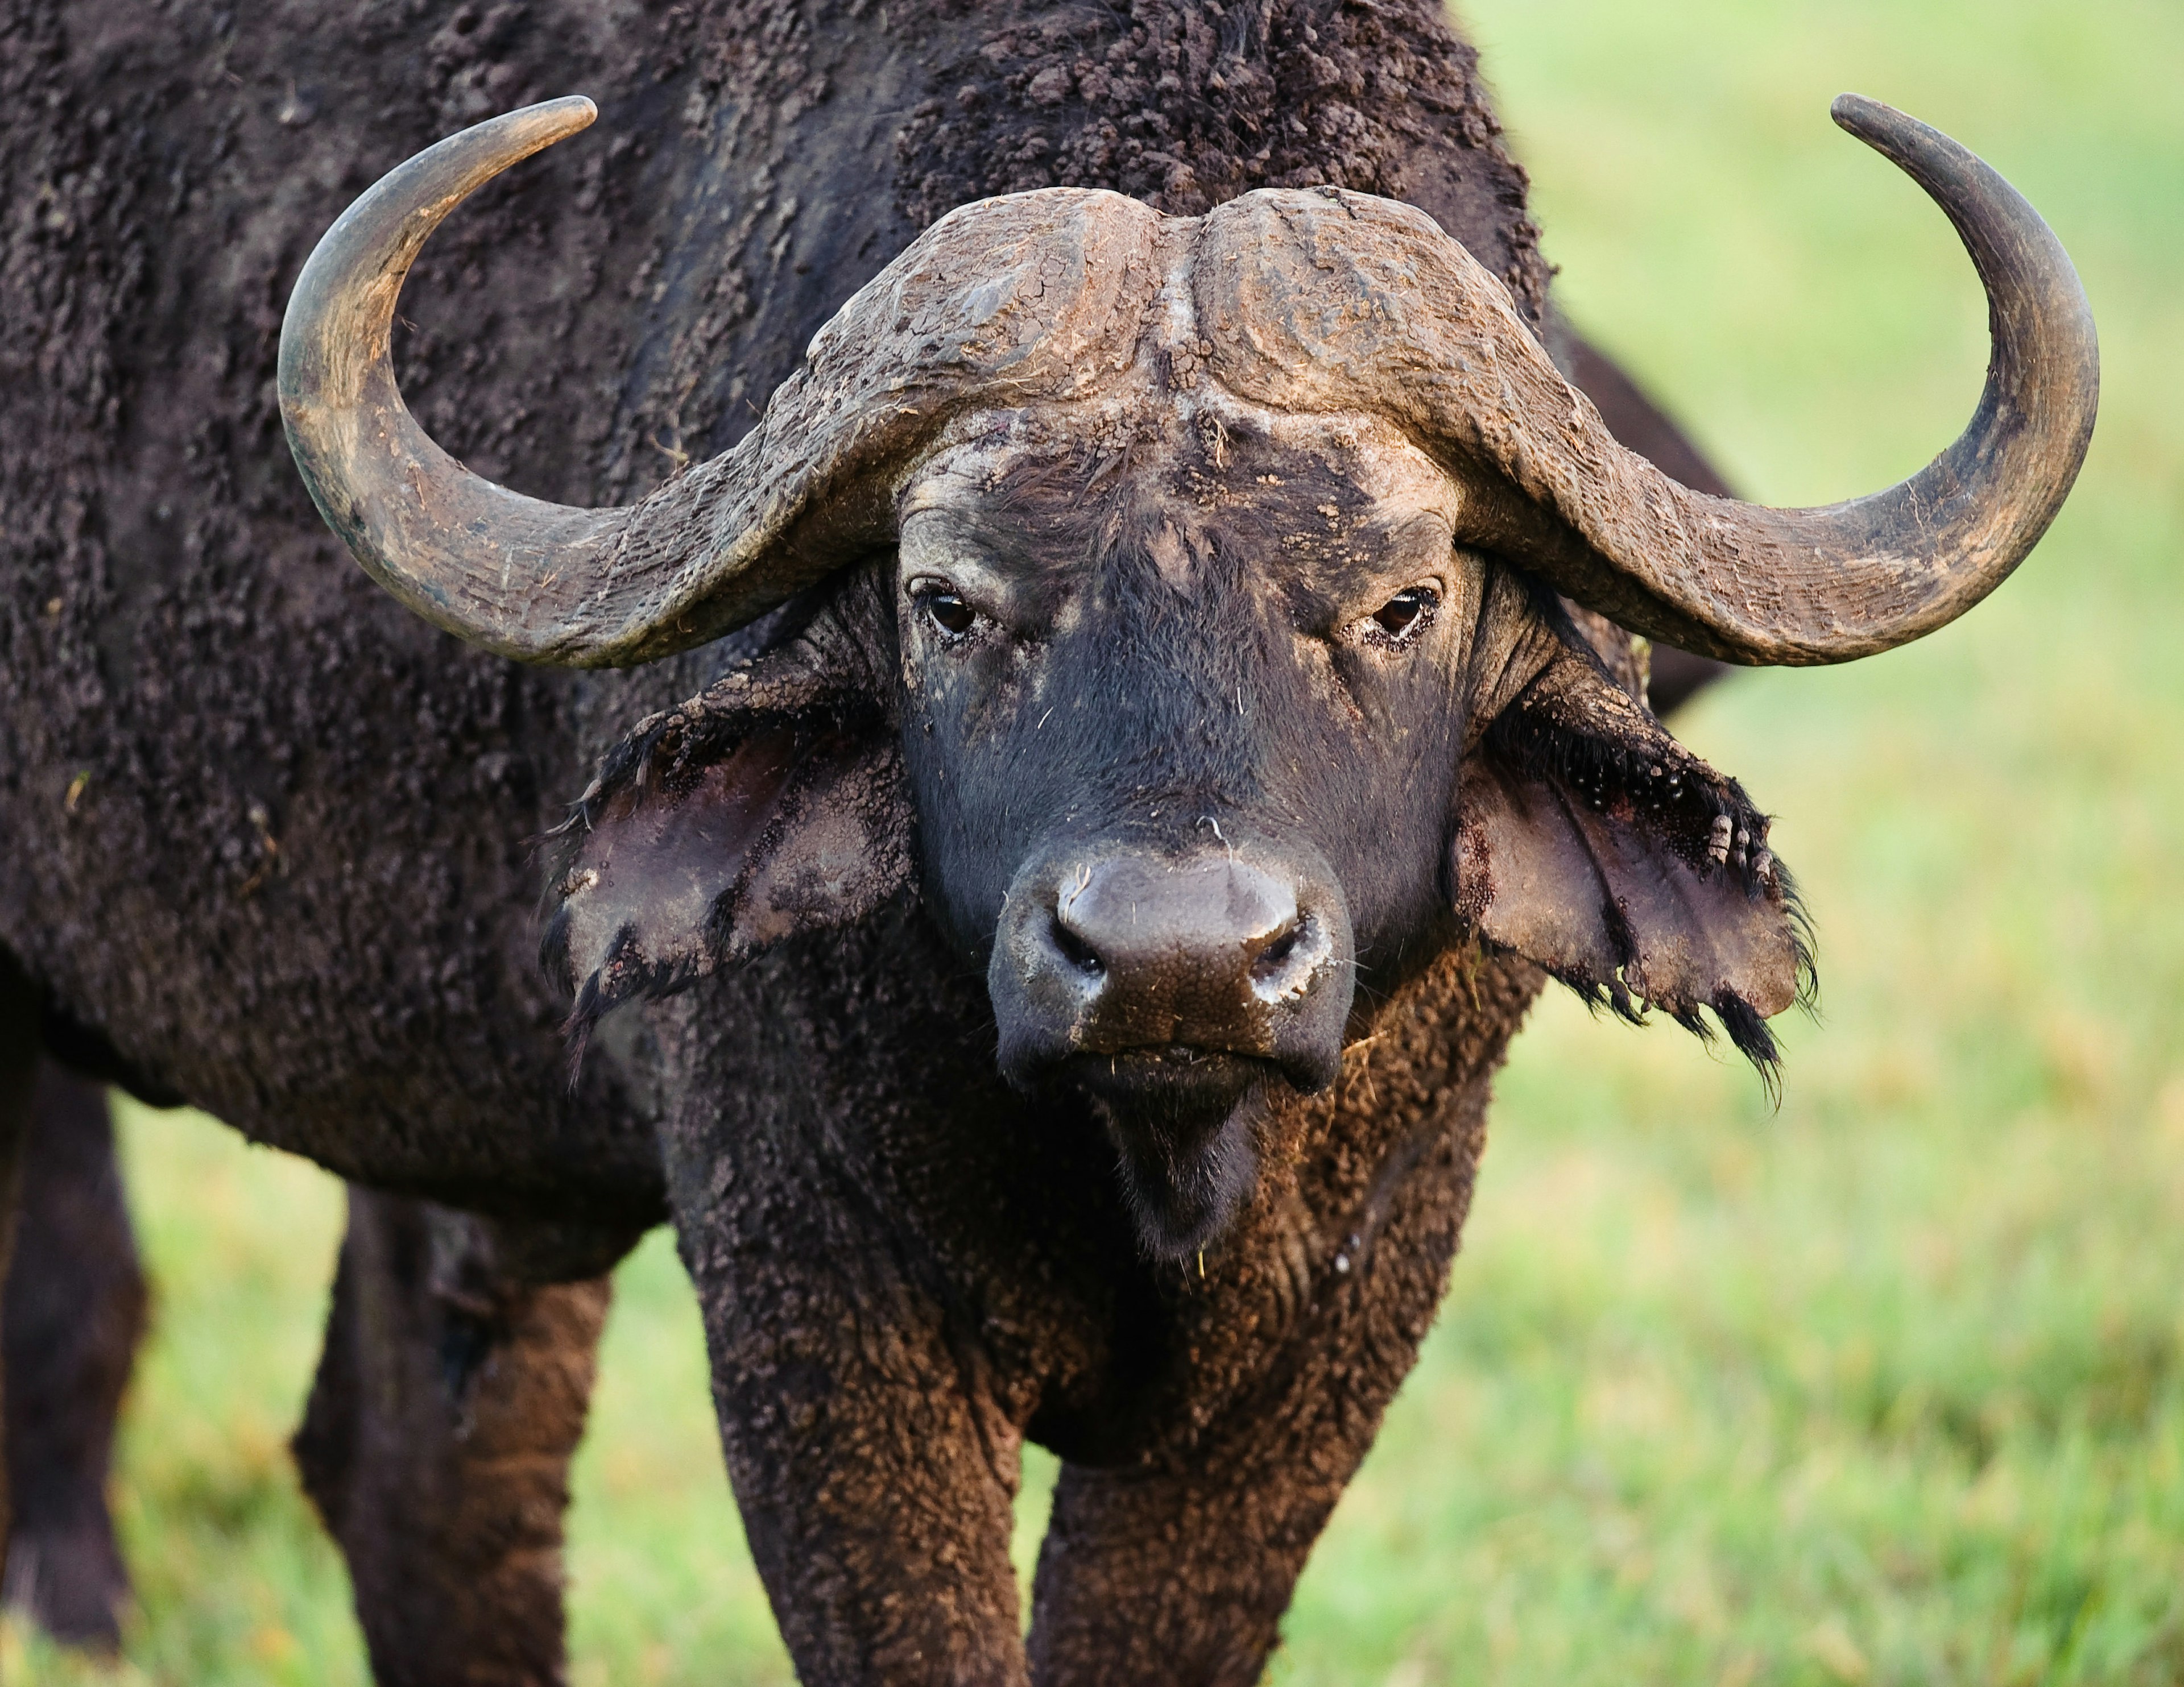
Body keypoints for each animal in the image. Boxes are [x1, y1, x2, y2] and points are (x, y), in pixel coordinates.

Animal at [0, 6, 2088, 1676]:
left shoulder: (1339, 1335)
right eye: (949, 600)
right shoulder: (824, 1317)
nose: (1175, 955)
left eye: (1402, 600)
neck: (1156, 1157)